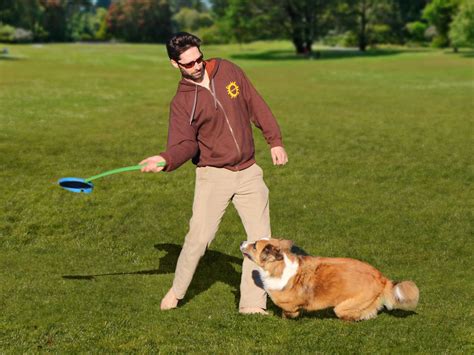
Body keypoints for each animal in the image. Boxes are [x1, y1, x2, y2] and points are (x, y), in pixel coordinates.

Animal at [241, 241, 418, 322]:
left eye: (254, 245)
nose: (243, 242)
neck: (278, 266)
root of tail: (382, 278)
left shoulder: (290, 305)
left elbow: (289, 312)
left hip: (344, 306)